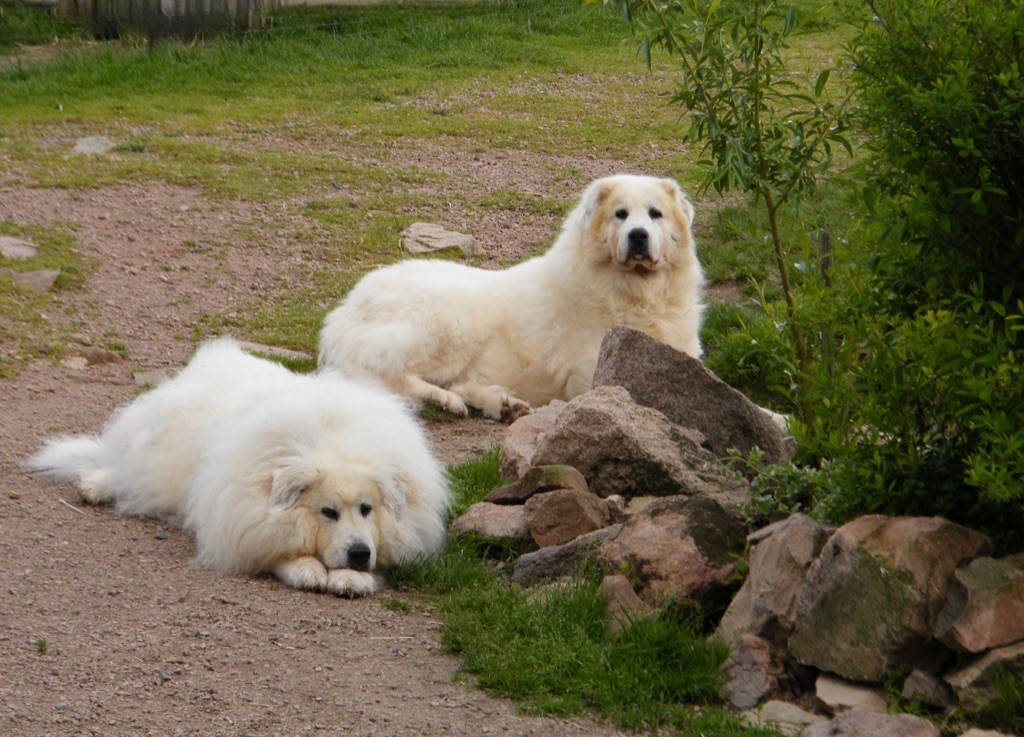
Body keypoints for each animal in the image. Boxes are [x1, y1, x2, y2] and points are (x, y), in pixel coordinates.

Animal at [28, 339, 450, 597]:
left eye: (367, 509)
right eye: (327, 512)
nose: (360, 552)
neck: (332, 440)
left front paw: (352, 578)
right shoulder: (245, 520)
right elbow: (280, 551)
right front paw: (308, 570)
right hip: (159, 458)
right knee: (126, 472)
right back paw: (94, 485)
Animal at [319, 171, 704, 419]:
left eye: (655, 214)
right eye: (620, 215)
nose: (638, 235)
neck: (636, 293)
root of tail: (344, 311)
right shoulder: (591, 374)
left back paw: (500, 404)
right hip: (453, 324)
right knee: (392, 377)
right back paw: (449, 400)